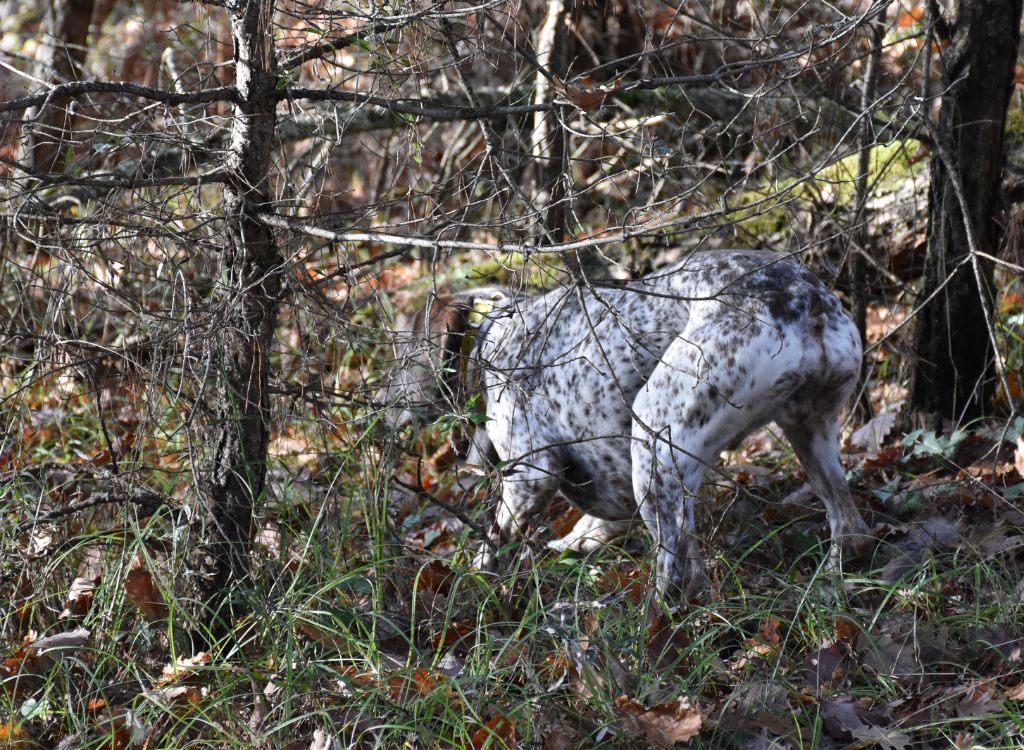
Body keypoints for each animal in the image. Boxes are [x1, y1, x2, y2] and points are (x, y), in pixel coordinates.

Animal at [380, 248, 868, 602]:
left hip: (653, 441)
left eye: (401, 359)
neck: (493, 337)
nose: (382, 404)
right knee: (849, 526)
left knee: (675, 574)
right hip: (808, 435)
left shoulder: (532, 477)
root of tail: (802, 298)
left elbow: (491, 541)